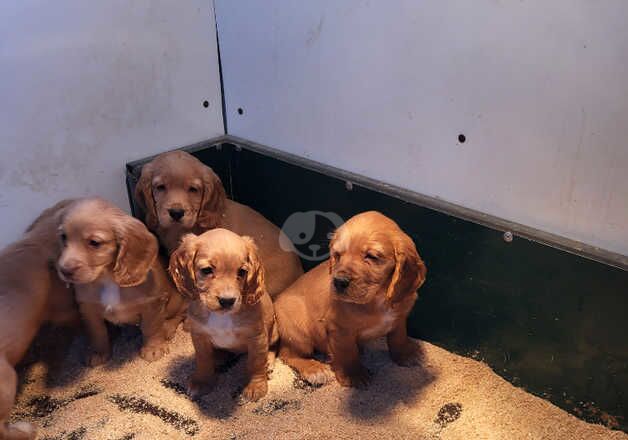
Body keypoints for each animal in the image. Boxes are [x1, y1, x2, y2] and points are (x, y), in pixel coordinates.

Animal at [55, 198, 186, 366]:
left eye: (95, 243)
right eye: (63, 237)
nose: (64, 270)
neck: (107, 279)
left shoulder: (153, 304)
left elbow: (151, 328)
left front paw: (153, 349)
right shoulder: (88, 309)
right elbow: (97, 332)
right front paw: (99, 352)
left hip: (177, 302)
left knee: (180, 314)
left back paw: (168, 327)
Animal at [169, 229, 278, 404]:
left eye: (242, 272)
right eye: (207, 270)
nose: (227, 301)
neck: (221, 317)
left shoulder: (257, 337)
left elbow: (256, 362)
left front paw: (256, 386)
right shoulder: (199, 335)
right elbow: (203, 360)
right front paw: (202, 382)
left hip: (273, 331)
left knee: (273, 346)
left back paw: (268, 362)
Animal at [274, 211, 426, 386]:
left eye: (372, 256)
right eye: (337, 255)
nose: (338, 282)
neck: (377, 298)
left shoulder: (399, 318)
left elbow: (398, 337)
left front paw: (406, 354)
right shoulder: (339, 329)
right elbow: (347, 352)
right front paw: (354, 375)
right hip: (299, 333)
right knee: (288, 354)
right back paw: (315, 369)